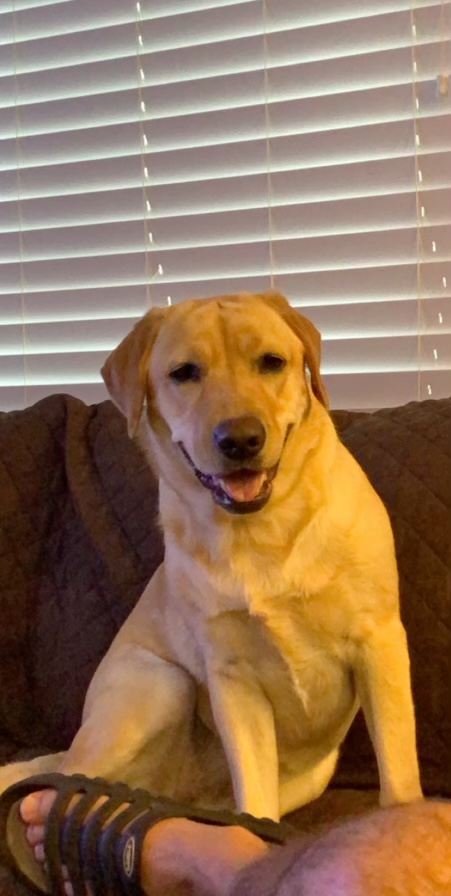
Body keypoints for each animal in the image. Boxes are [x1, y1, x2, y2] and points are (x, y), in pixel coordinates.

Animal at [0, 290, 422, 821]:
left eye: (272, 362)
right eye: (184, 372)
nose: (240, 439)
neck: (262, 531)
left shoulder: (379, 642)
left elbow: (399, 778)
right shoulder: (233, 679)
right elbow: (255, 805)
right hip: (160, 685)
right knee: (52, 782)